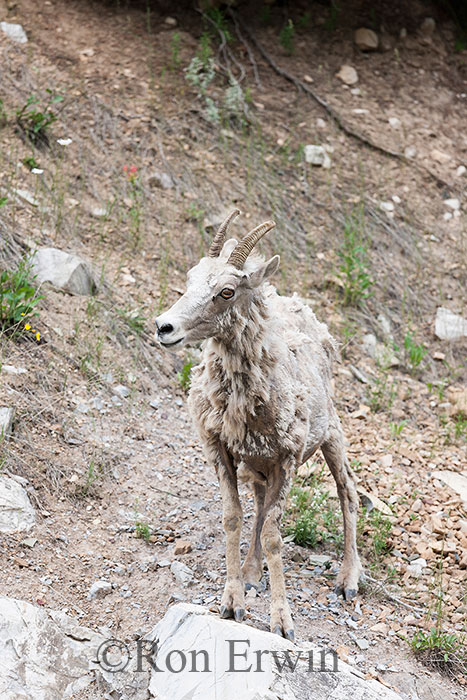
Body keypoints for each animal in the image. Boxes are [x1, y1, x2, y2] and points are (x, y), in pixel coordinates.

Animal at [155, 209, 364, 640]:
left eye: (227, 292)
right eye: (190, 279)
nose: (164, 327)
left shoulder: (287, 458)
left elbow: (273, 535)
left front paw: (282, 622)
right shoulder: (221, 451)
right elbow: (234, 518)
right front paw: (232, 602)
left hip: (332, 435)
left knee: (348, 492)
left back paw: (348, 581)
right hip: (257, 465)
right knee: (261, 504)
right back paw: (252, 575)